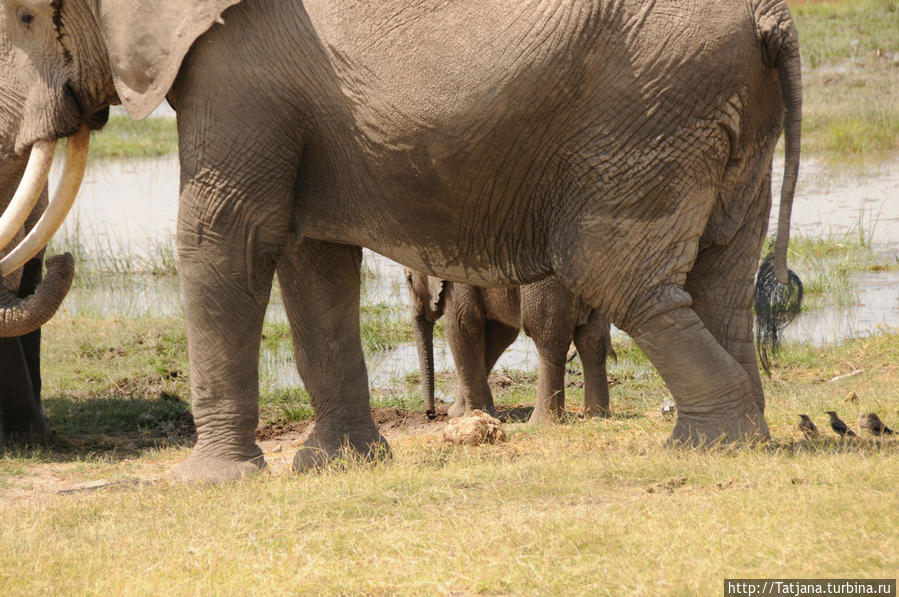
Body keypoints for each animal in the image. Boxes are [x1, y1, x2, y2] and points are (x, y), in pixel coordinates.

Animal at [406, 270, 612, 424]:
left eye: (409, 279)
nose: (431, 414)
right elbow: (499, 335)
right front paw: (460, 413)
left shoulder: (458, 281)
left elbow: (461, 328)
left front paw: (470, 416)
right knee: (592, 341)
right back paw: (598, 418)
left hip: (548, 287)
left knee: (549, 338)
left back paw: (542, 423)